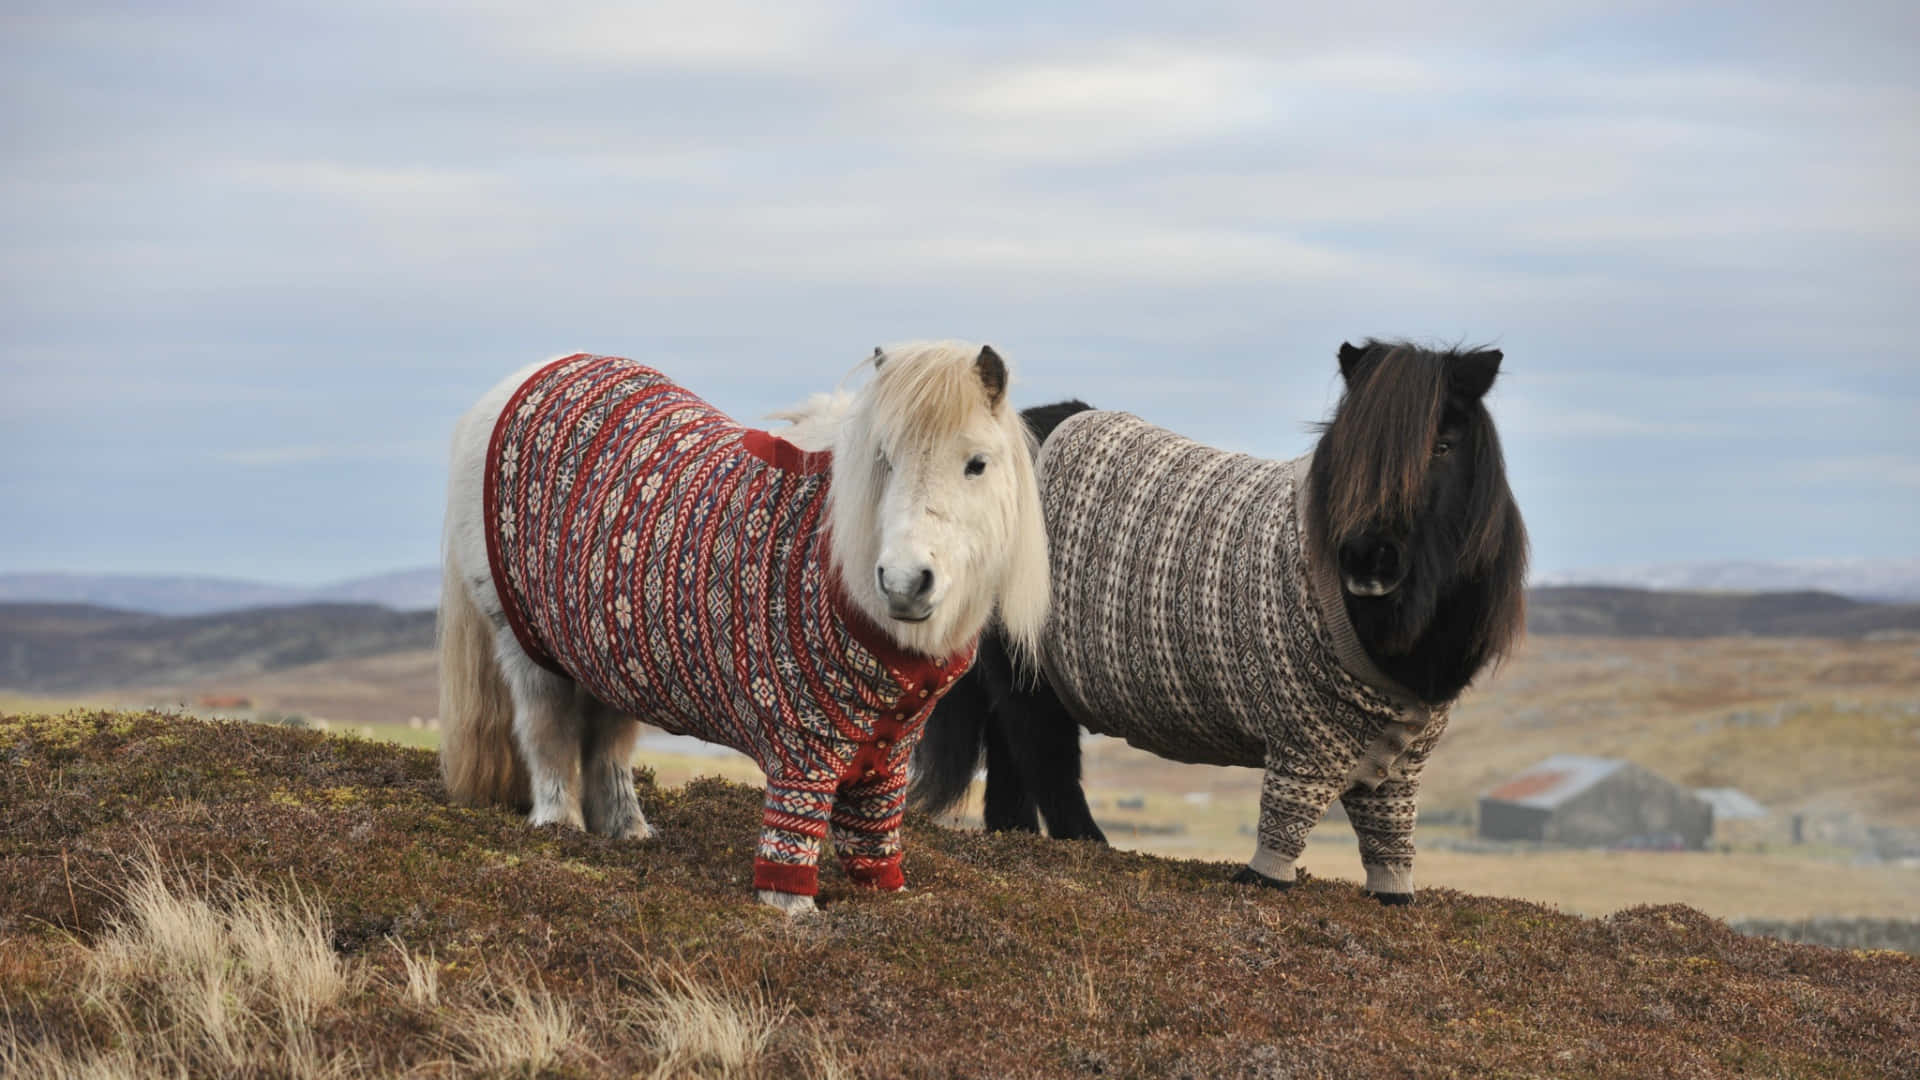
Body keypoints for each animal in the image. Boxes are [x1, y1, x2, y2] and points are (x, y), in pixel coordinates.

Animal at [439, 338, 1052, 907]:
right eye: (884, 459)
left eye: (977, 463)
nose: (904, 582)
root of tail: (528, 377)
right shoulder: (801, 750)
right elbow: (792, 843)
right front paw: (794, 911)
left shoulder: (888, 758)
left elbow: (874, 841)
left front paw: (888, 899)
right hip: (526, 646)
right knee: (546, 731)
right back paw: (558, 827)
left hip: (608, 654)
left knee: (607, 745)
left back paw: (628, 831)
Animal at [910, 338, 1528, 899]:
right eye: (1349, 448)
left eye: (1444, 446)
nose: (1366, 559)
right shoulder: (1301, 745)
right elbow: (1284, 826)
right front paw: (1263, 882)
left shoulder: (1400, 767)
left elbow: (1389, 839)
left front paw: (1392, 894)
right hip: (1030, 669)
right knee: (1044, 756)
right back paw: (1087, 844)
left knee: (1011, 754)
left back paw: (1015, 836)